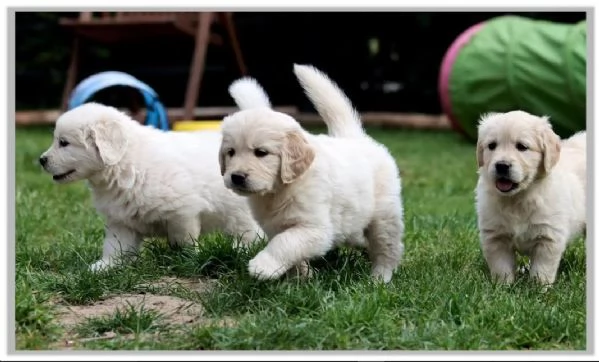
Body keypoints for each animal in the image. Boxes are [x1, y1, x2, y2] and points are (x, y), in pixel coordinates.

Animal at [38, 102, 262, 272]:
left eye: (64, 143)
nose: (41, 160)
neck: (126, 165)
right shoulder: (120, 220)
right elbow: (114, 246)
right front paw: (103, 267)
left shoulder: (182, 213)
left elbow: (183, 241)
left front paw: (186, 260)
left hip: (239, 210)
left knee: (249, 231)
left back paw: (241, 250)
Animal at [218, 63, 406, 282]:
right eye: (231, 152)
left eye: (261, 153)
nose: (236, 177)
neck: (279, 191)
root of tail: (354, 137)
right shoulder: (275, 226)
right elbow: (291, 251)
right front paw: (301, 277)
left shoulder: (316, 228)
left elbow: (286, 243)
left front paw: (263, 266)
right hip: (353, 220)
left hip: (384, 217)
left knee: (388, 249)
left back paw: (379, 278)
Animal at [474, 110, 584, 286]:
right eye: (492, 145)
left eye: (522, 147)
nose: (502, 165)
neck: (519, 198)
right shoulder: (495, 236)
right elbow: (501, 266)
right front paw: (503, 287)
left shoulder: (548, 237)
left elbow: (542, 269)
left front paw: (538, 289)